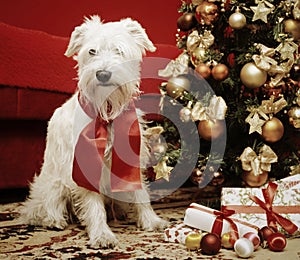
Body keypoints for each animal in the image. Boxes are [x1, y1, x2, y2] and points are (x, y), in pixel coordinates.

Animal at [20, 15, 168, 248]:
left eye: (119, 50)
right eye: (92, 51)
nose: (103, 74)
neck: (107, 111)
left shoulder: (131, 157)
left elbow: (141, 193)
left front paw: (150, 220)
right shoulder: (84, 163)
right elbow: (93, 205)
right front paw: (101, 233)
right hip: (54, 181)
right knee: (47, 204)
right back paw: (54, 220)